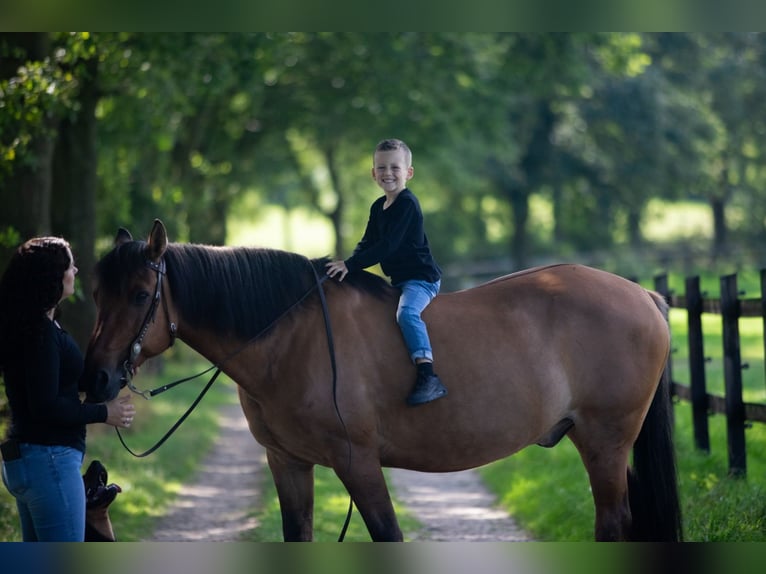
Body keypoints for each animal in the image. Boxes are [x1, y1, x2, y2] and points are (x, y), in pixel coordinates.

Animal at [82, 218, 684, 544]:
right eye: (95, 293)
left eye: (140, 294)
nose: (96, 378)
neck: (292, 336)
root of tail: (643, 294)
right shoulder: (287, 464)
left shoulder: (358, 463)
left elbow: (387, 534)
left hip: (605, 442)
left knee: (613, 523)